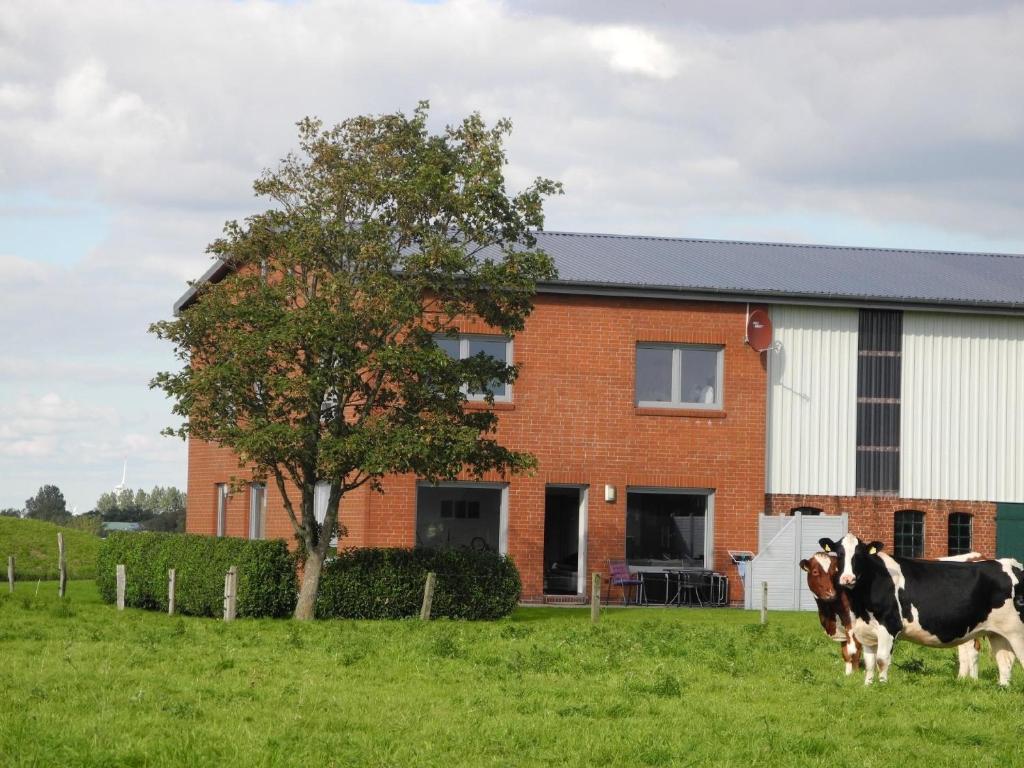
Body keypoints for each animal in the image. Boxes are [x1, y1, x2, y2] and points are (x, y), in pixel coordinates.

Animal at [819, 536, 1024, 684]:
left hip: (1018, 633)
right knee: (1005, 662)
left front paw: (882, 686)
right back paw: (1003, 687)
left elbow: (882, 660)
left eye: (860, 555)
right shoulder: (866, 631)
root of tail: (1012, 563)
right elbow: (869, 663)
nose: (847, 578)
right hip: (998, 633)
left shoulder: (889, 626)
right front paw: (868, 686)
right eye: (839, 554)